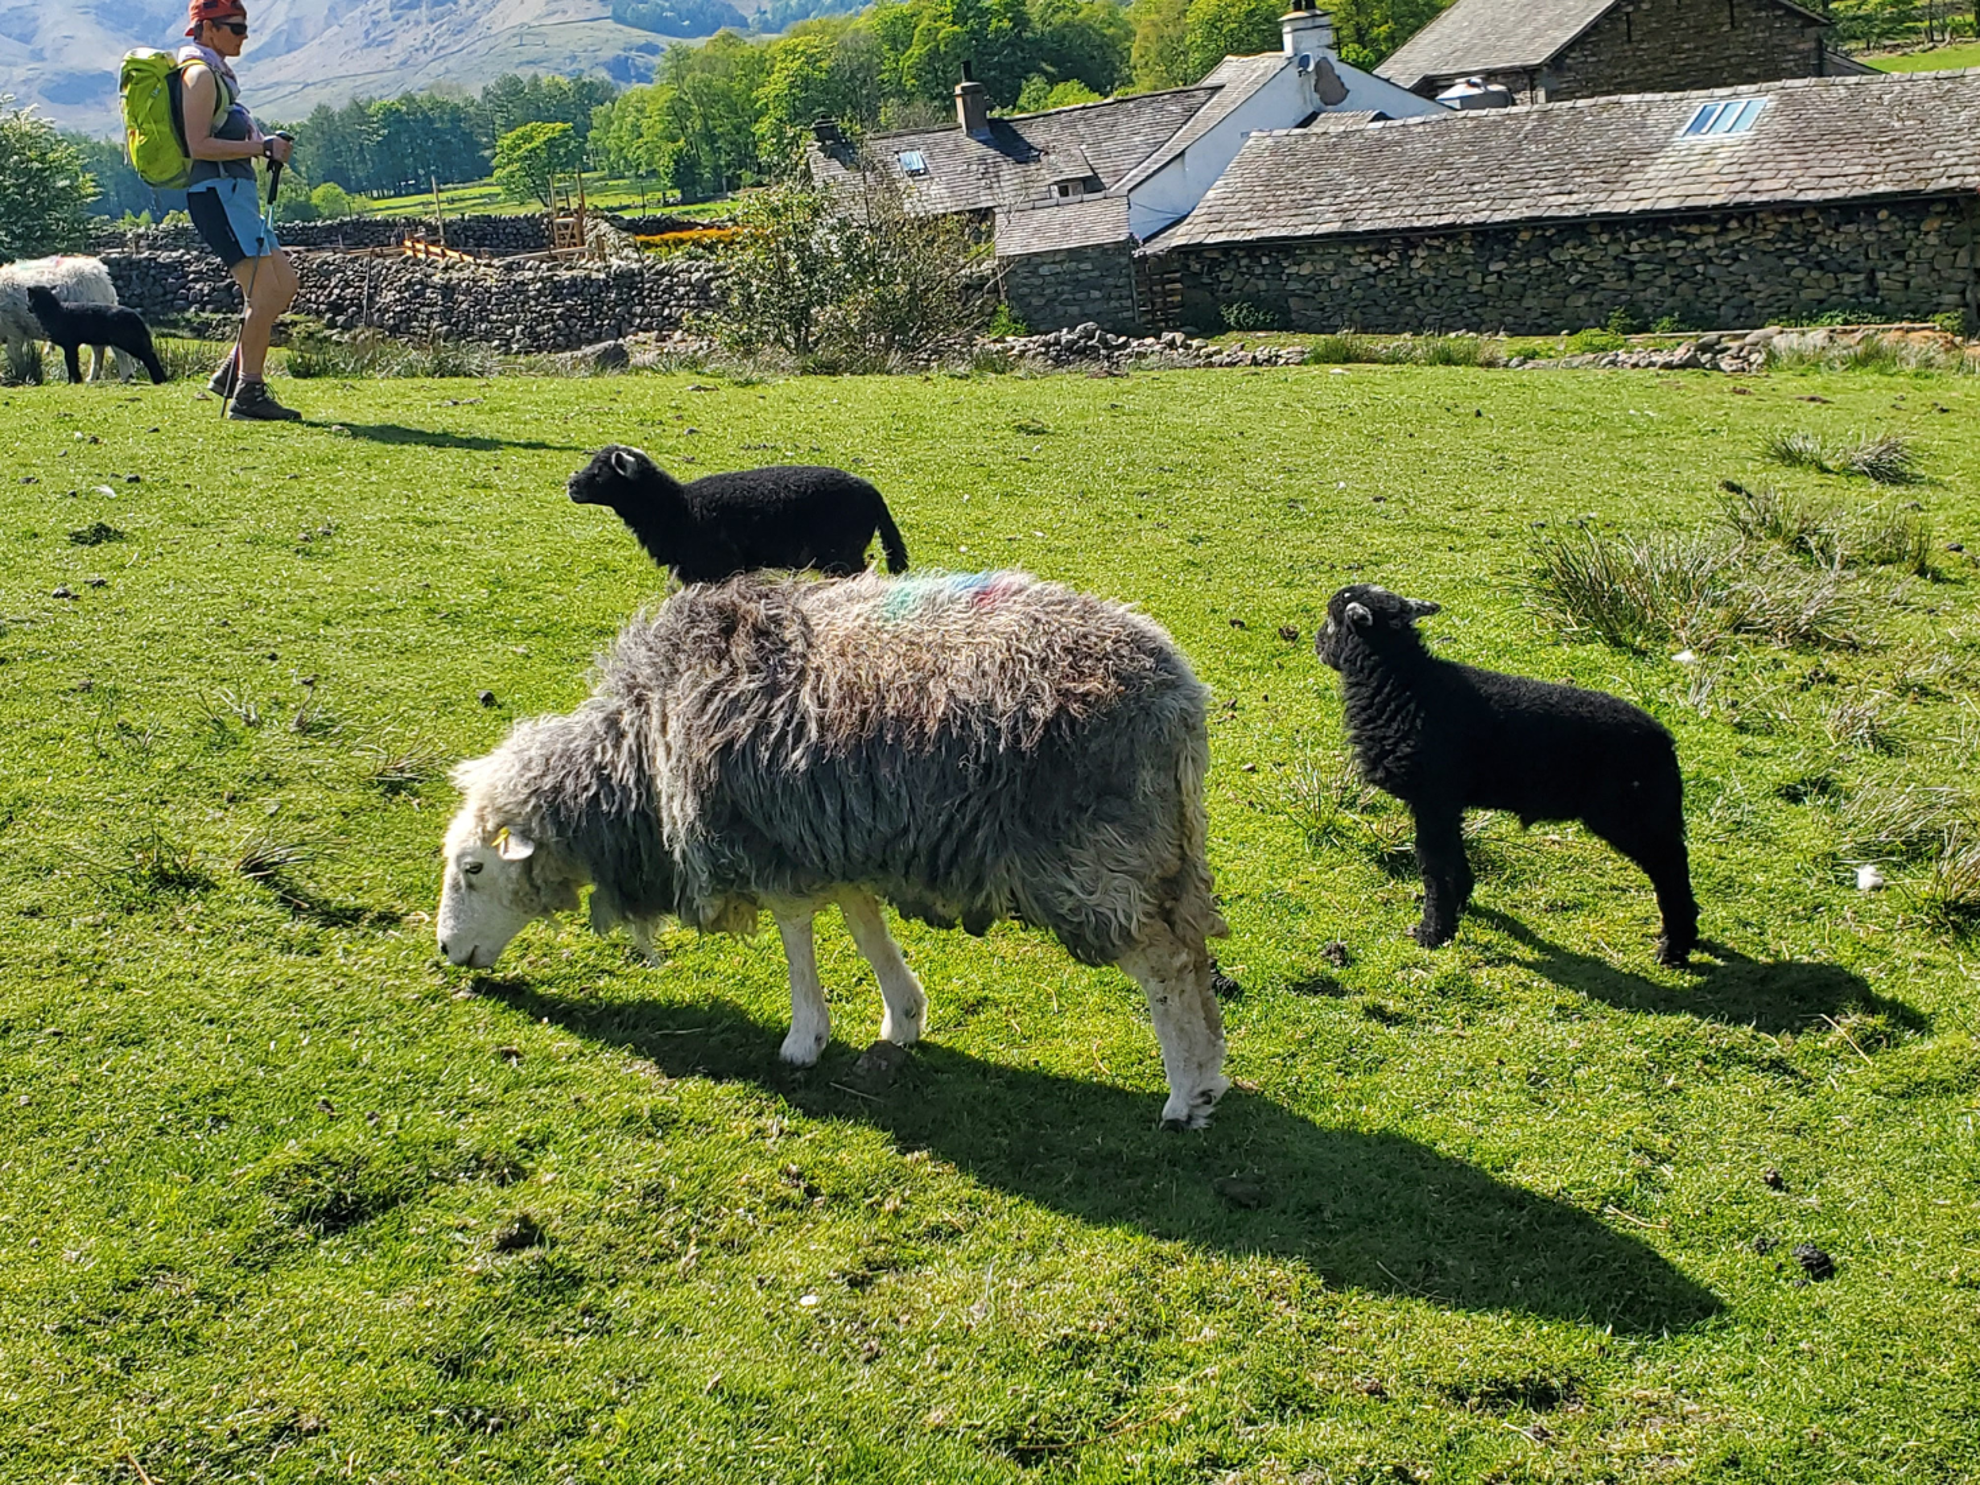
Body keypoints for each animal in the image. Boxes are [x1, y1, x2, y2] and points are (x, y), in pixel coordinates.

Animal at [24, 285, 166, 386]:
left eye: (29, 299)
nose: (27, 308)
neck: (52, 311)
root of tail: (136, 316)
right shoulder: (72, 345)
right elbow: (72, 361)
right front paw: (76, 381)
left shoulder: (69, 344)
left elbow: (70, 361)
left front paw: (72, 381)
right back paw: (162, 379)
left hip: (130, 341)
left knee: (149, 356)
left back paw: (159, 379)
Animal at [441, 570, 1227, 1124]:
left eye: (473, 867)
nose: (448, 951)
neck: (643, 752)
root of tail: (1178, 696)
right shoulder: (833, 834)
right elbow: (862, 922)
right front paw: (902, 1016)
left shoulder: (769, 840)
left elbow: (797, 933)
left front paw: (804, 1038)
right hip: (1162, 852)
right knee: (1194, 954)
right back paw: (1212, 1071)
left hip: (1095, 858)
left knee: (1164, 966)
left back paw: (1185, 1095)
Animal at [570, 445, 906, 586]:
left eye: (600, 473)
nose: (571, 485)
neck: (678, 509)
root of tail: (872, 492)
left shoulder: (719, 567)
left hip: (842, 553)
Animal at [1314, 586, 1702, 970]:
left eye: (1332, 618)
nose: (1317, 643)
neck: (1404, 685)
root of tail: (1665, 741)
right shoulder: (1447, 803)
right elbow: (1453, 858)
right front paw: (1460, 903)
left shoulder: (1433, 798)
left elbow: (1434, 864)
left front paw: (1433, 932)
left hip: (1631, 813)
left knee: (1670, 866)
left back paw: (1674, 948)